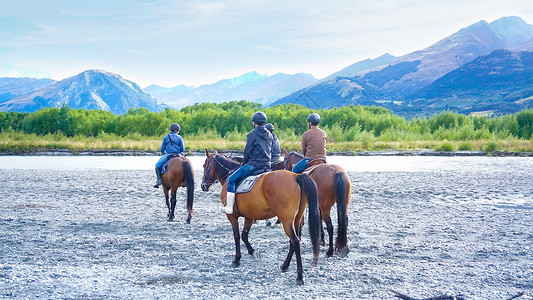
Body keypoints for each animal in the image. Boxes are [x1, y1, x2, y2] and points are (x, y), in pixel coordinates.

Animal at [201, 150, 320, 286]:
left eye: (205, 165)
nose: (203, 185)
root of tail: (295, 177)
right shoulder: (249, 217)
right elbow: (244, 235)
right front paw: (252, 252)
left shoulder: (232, 217)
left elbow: (237, 236)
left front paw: (237, 259)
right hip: (297, 219)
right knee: (294, 240)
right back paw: (285, 265)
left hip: (286, 221)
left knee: (295, 241)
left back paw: (299, 276)